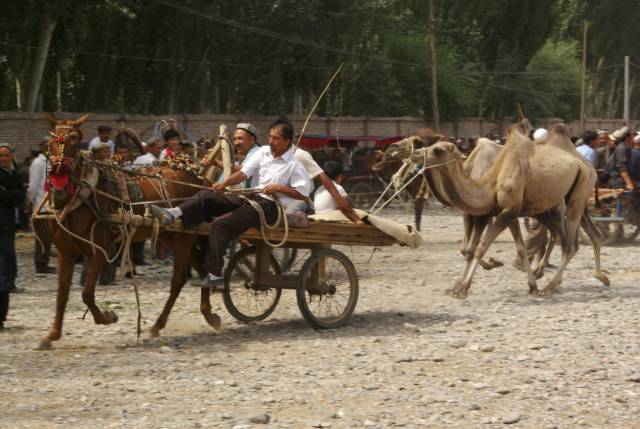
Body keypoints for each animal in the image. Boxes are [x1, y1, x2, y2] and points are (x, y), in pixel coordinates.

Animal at [38, 113, 222, 348]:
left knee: (179, 279)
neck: (79, 198)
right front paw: (52, 335)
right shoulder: (65, 252)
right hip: (174, 235)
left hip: (183, 237)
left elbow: (87, 294)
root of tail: (200, 178)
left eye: (75, 141)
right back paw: (209, 315)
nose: (59, 187)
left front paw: (108, 317)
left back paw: (157, 325)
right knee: (202, 271)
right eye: (51, 141)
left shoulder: (100, 250)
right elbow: (62, 295)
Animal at [410, 122, 604, 298]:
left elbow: (480, 248)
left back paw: (550, 286)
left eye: (438, 150)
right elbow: (517, 248)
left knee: (570, 245)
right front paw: (532, 286)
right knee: (566, 237)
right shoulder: (505, 213)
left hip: (579, 193)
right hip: (551, 205)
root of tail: (589, 165)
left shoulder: (507, 211)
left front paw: (463, 288)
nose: (414, 154)